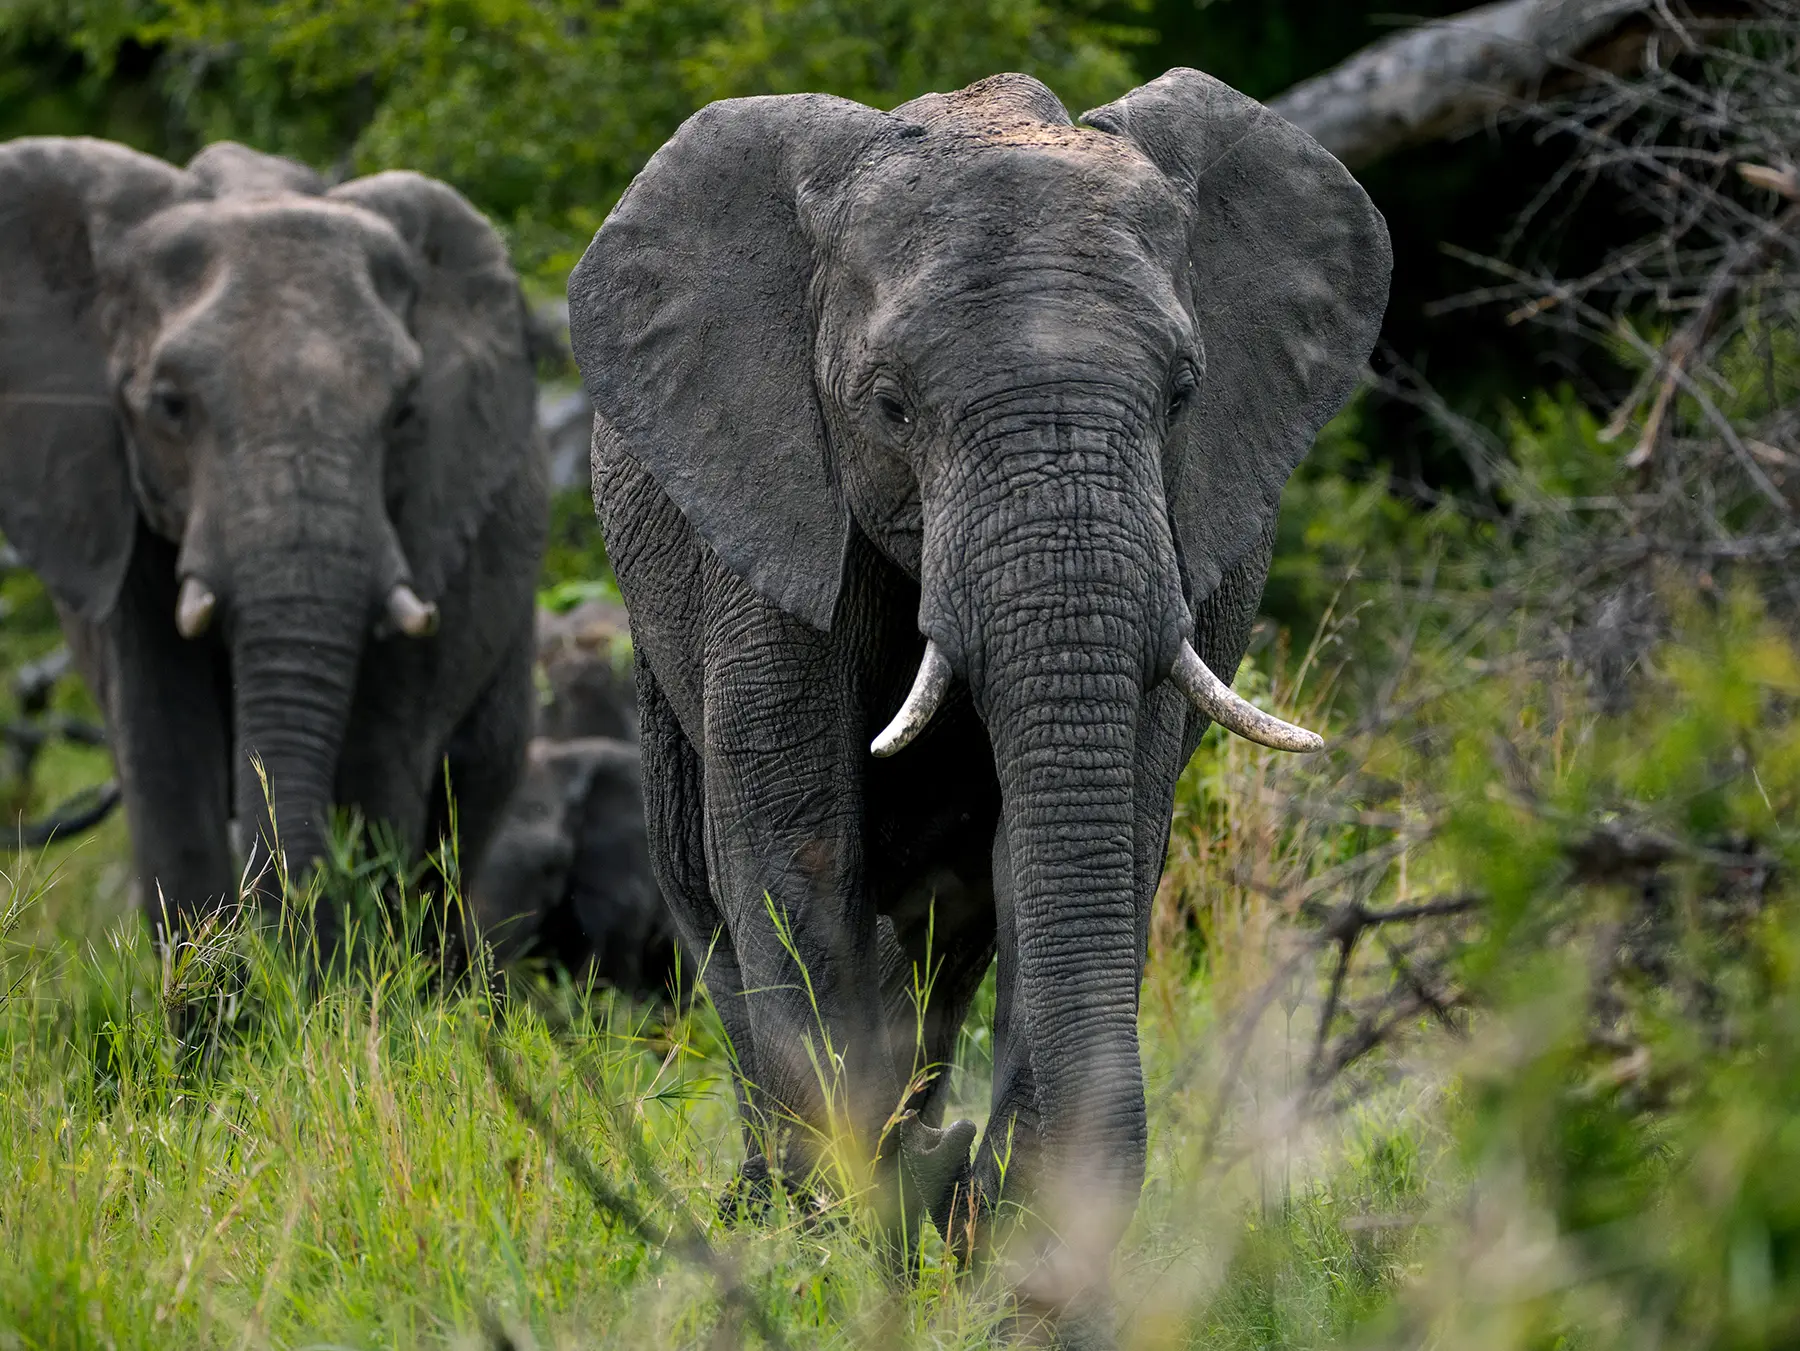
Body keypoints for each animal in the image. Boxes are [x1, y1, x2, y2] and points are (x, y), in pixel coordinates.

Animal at [568, 68, 1389, 1309]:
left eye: (1184, 392)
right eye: (890, 404)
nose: (964, 1183)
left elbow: (1084, 845)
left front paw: (989, 1244)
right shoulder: (767, 512)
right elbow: (797, 843)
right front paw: (841, 1247)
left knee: (949, 937)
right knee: (703, 886)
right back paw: (774, 1201)